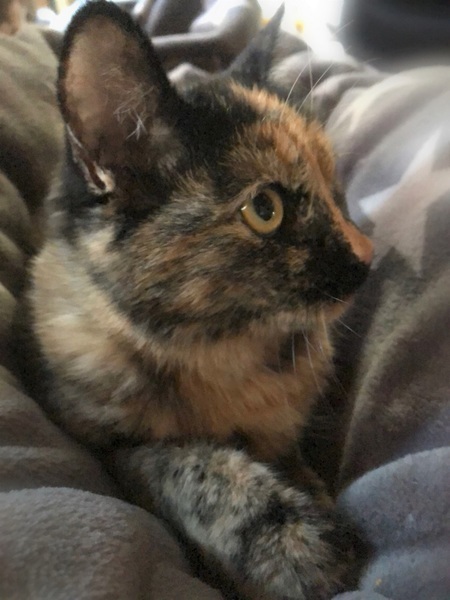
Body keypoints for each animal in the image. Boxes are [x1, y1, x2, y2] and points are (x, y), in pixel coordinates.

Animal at [25, 2, 373, 598]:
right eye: (265, 209)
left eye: (336, 191)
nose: (366, 259)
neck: (220, 353)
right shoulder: (106, 445)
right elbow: (188, 464)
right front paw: (297, 544)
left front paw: (308, 498)